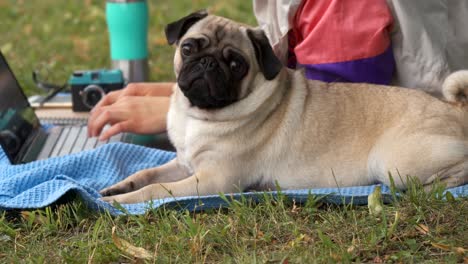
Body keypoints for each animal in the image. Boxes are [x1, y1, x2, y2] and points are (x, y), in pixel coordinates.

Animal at [100, 10, 468, 203]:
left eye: (236, 64)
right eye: (189, 48)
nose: (207, 64)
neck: (199, 115)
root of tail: (455, 110)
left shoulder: (213, 180)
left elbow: (156, 189)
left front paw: (119, 201)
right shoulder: (184, 163)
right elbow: (147, 174)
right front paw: (119, 186)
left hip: (392, 162)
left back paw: (433, 187)